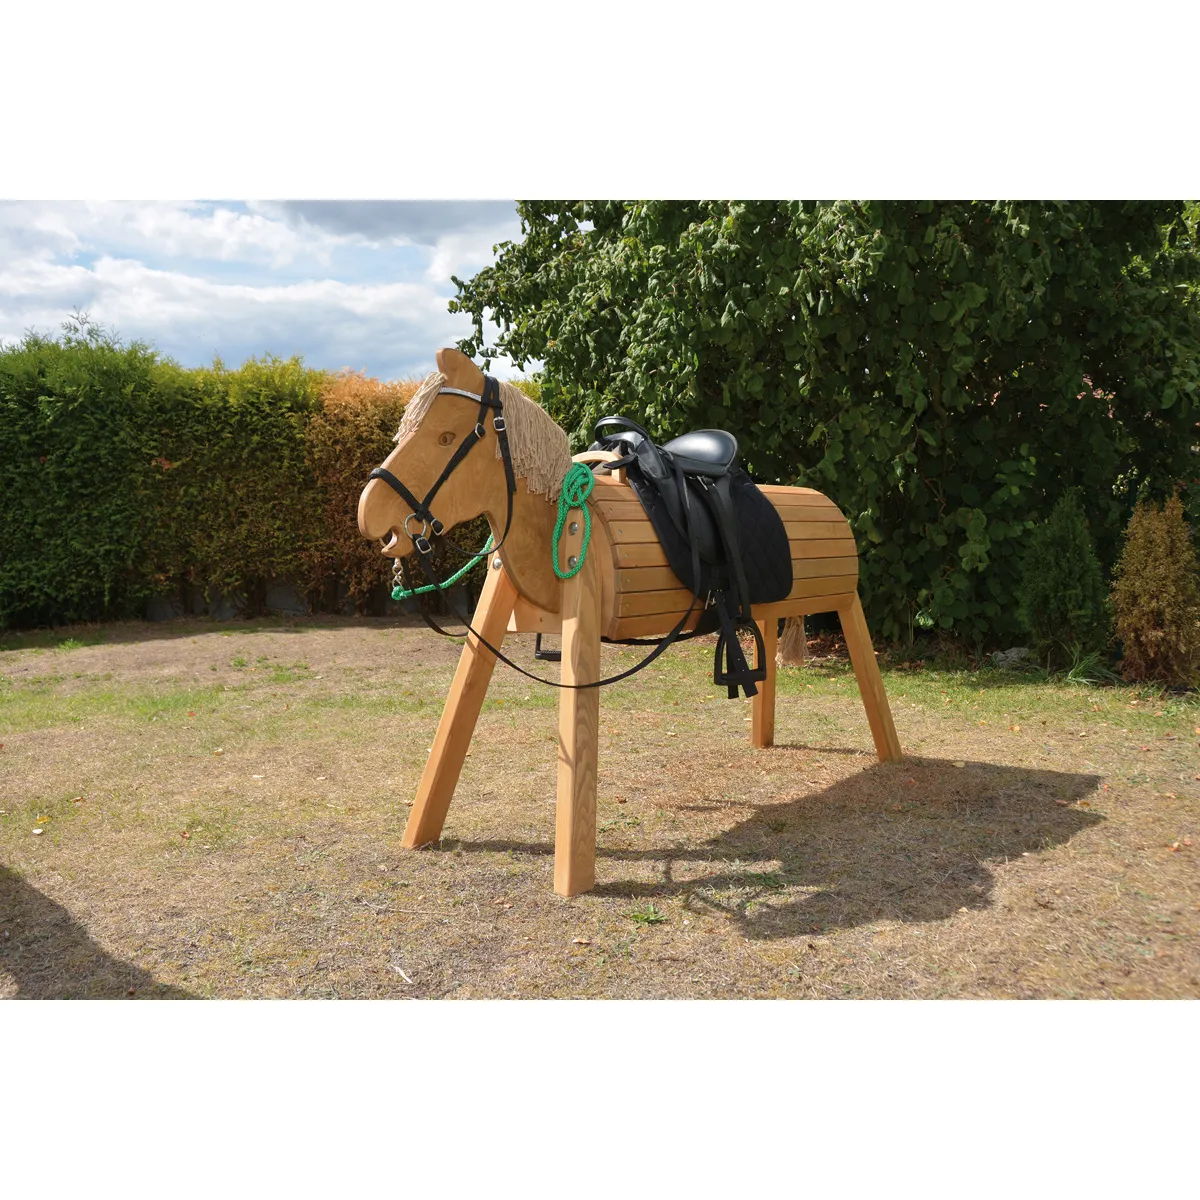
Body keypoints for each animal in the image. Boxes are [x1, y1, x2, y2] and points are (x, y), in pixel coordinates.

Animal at [357, 348, 901, 896]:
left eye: (445, 437)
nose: (369, 514)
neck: (556, 520)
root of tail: (825, 502)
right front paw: (419, 834)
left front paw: (573, 880)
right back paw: (764, 742)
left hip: (848, 602)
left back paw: (893, 758)